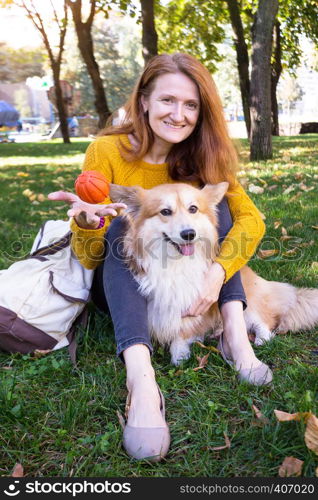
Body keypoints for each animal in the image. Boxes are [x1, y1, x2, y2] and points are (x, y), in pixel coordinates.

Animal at [110, 182, 318, 366]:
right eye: (165, 212)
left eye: (193, 209)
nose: (189, 234)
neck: (174, 261)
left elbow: (181, 332)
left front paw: (179, 355)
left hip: (250, 303)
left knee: (263, 321)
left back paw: (261, 339)